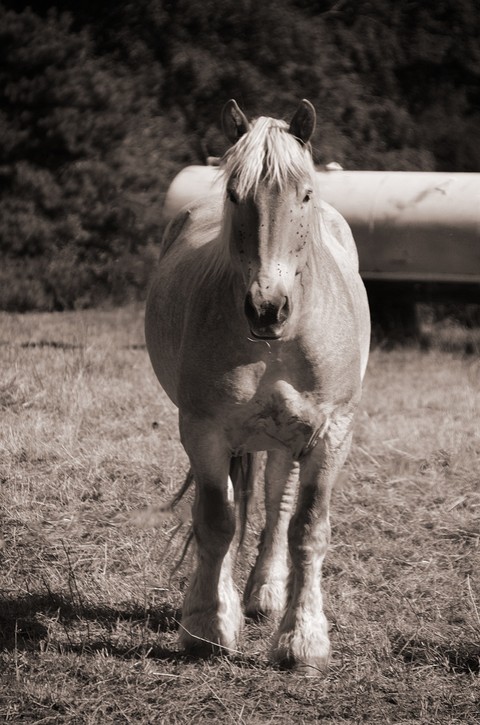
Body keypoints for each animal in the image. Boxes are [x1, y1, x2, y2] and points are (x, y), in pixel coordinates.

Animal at [145, 99, 370, 673]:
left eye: (305, 194)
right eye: (233, 193)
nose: (267, 308)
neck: (277, 343)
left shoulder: (330, 433)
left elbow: (307, 528)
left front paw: (302, 640)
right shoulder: (204, 429)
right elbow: (216, 519)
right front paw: (207, 625)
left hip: (287, 437)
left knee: (277, 504)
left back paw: (266, 594)